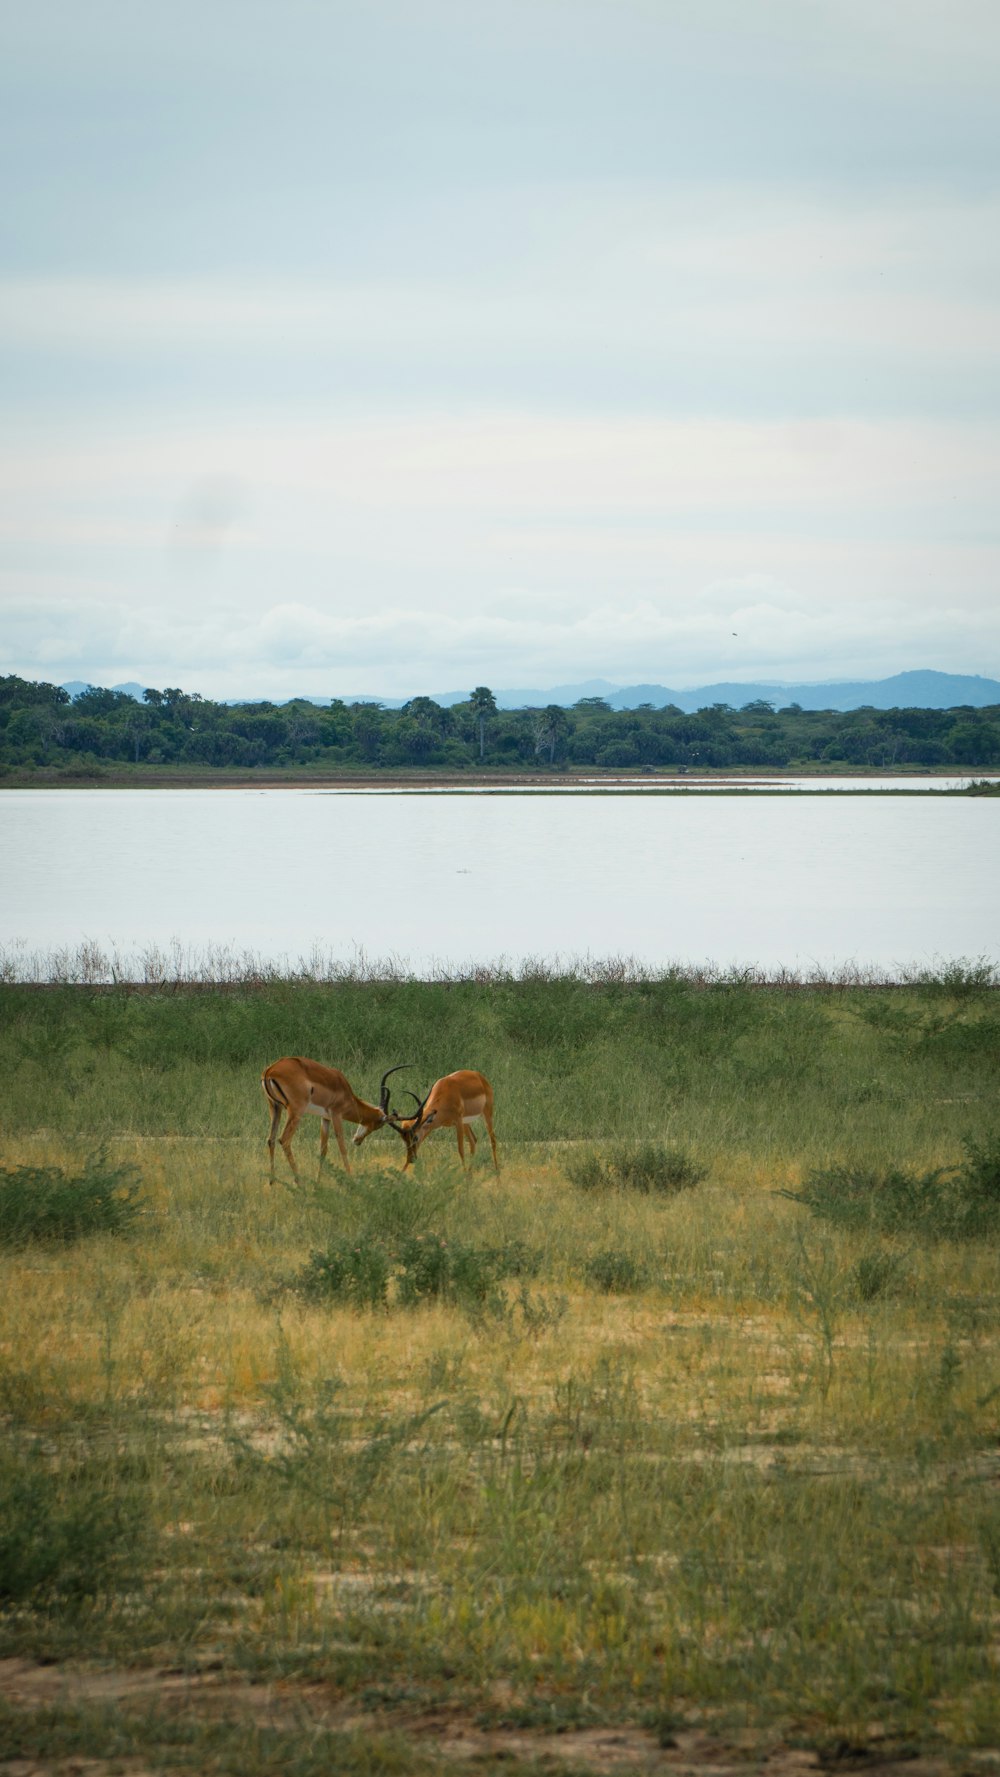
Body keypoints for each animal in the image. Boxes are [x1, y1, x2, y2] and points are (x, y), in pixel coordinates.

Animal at [264, 1051, 412, 1179]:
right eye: (378, 1125)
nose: (357, 1141)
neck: (346, 1092)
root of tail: (270, 1070)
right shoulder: (336, 1115)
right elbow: (342, 1147)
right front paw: (351, 1179)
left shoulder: (325, 1118)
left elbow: (323, 1150)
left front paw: (318, 1183)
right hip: (296, 1111)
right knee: (284, 1140)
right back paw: (299, 1183)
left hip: (275, 1108)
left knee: (271, 1139)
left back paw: (273, 1181)